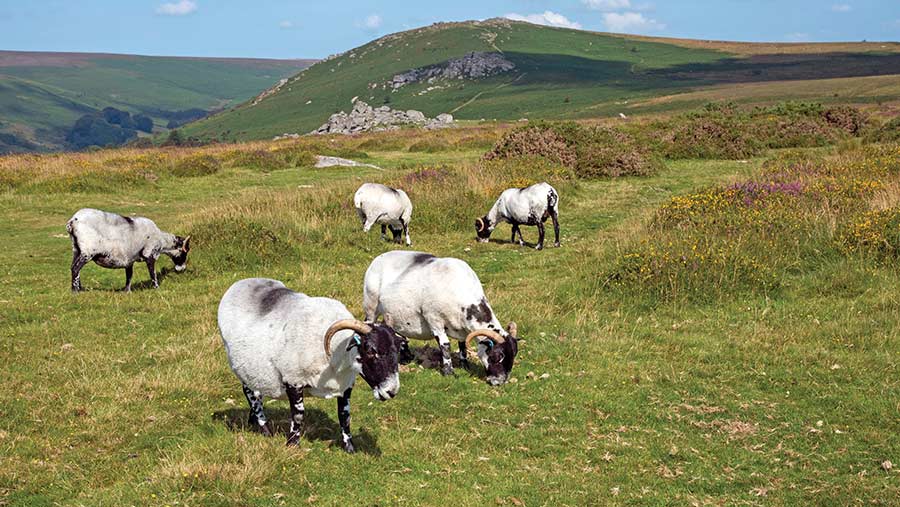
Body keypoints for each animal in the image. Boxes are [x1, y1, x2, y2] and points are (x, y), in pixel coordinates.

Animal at [218, 280, 400, 454]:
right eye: (370, 351)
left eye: (398, 349)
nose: (392, 391)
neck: (335, 354)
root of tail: (240, 283)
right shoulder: (293, 380)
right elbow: (298, 415)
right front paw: (292, 444)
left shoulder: (346, 386)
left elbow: (345, 416)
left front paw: (350, 448)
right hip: (241, 366)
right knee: (251, 394)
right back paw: (264, 429)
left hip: (257, 371)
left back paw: (253, 421)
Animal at [360, 252, 516, 386]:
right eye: (496, 356)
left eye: (513, 356)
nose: (499, 382)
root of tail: (378, 258)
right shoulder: (433, 318)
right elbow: (445, 345)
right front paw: (449, 372)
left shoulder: (462, 328)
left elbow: (462, 346)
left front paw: (465, 365)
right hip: (371, 304)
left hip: (392, 313)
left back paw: (406, 357)